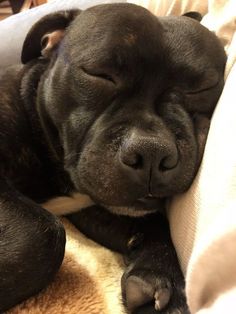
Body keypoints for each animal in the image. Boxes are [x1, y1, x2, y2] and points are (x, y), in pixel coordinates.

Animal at [0, 3, 225, 314]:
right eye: (99, 74)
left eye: (201, 89)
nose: (151, 151)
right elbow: (42, 234)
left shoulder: (96, 208)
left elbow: (153, 222)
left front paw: (160, 277)